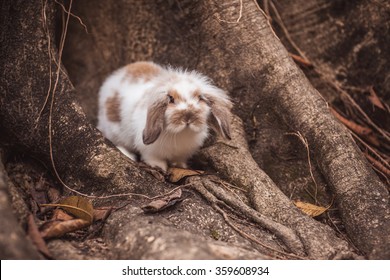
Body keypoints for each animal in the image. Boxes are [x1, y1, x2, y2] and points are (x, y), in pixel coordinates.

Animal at [97, 61, 232, 171]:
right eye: (171, 99)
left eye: (200, 98)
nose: (188, 117)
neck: (181, 133)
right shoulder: (149, 150)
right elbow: (152, 158)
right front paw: (159, 166)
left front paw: (180, 165)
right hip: (114, 130)